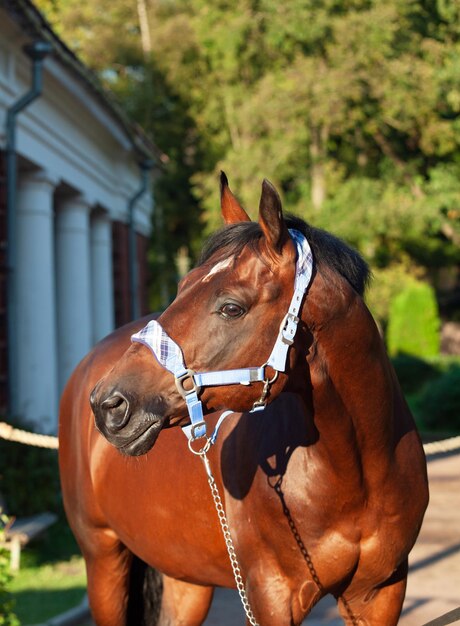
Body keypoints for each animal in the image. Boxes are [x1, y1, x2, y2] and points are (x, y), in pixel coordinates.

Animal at [59, 172, 430, 624]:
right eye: (182, 286)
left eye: (231, 308)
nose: (109, 403)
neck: (359, 472)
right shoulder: (271, 596)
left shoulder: (381, 593)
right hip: (103, 559)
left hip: (186, 578)